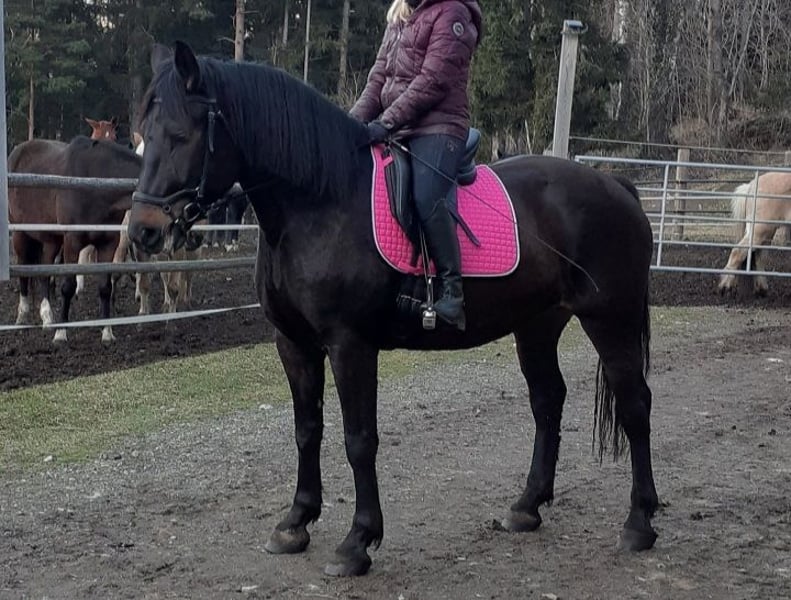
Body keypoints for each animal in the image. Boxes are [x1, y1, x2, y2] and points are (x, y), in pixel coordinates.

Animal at [8, 136, 141, 343]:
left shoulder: (108, 244)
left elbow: (105, 287)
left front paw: (107, 332)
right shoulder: (72, 242)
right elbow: (68, 287)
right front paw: (61, 334)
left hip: (51, 240)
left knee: (44, 273)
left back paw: (47, 318)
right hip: (20, 234)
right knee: (23, 270)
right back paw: (22, 316)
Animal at [128, 42, 658, 577]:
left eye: (181, 135)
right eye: (143, 135)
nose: (142, 230)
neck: (320, 203)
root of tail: (616, 186)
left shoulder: (350, 345)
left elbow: (359, 439)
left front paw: (357, 541)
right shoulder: (293, 344)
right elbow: (306, 430)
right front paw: (297, 521)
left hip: (610, 320)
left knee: (635, 405)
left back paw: (639, 523)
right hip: (537, 326)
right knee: (548, 401)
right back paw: (528, 507)